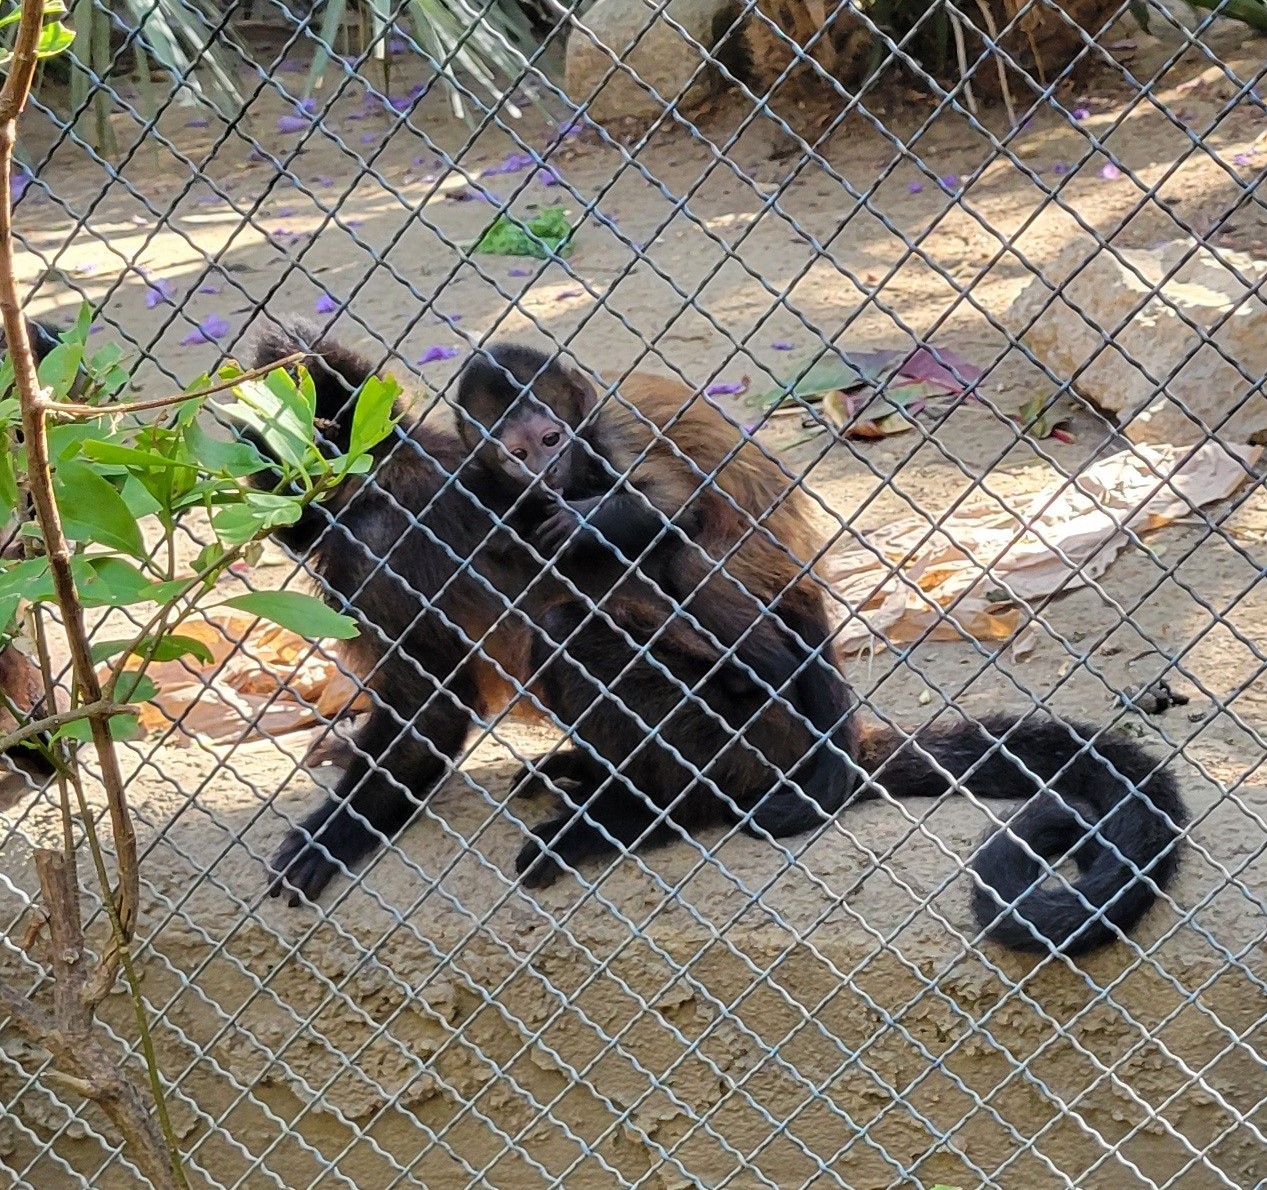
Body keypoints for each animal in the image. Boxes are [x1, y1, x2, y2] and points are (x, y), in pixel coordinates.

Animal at [246, 323, 1188, 956]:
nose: (270, 500)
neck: (375, 487)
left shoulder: (380, 548)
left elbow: (428, 716)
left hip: (736, 735)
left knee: (578, 631)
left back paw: (645, 810)